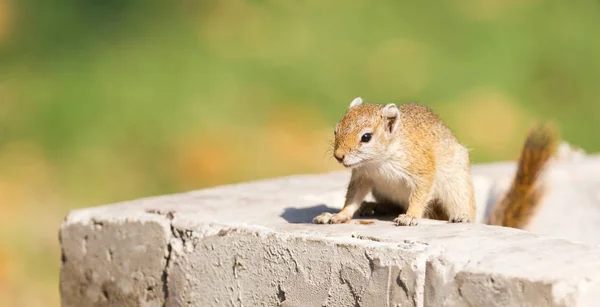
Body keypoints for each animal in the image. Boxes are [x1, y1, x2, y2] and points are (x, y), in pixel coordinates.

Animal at [314, 97, 556, 229]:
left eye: (366, 137)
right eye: (336, 130)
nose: (339, 156)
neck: (378, 162)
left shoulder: (421, 166)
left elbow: (421, 192)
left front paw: (411, 216)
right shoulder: (363, 176)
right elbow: (352, 199)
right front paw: (338, 215)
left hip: (456, 185)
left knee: (462, 203)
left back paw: (462, 216)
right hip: (382, 192)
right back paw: (372, 206)